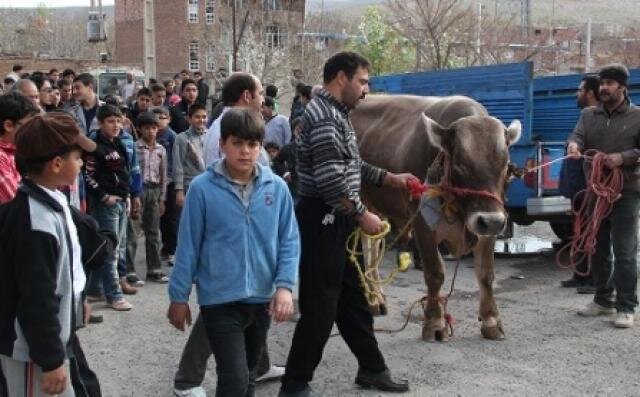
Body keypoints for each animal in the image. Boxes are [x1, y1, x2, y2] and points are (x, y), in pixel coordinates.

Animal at [350, 95, 520, 340]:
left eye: (505, 166)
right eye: (460, 164)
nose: (492, 221)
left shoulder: (487, 225)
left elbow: (486, 274)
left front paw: (491, 320)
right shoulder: (422, 224)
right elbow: (434, 273)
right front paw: (434, 322)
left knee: (374, 244)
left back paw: (378, 297)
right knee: (367, 247)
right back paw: (372, 299)